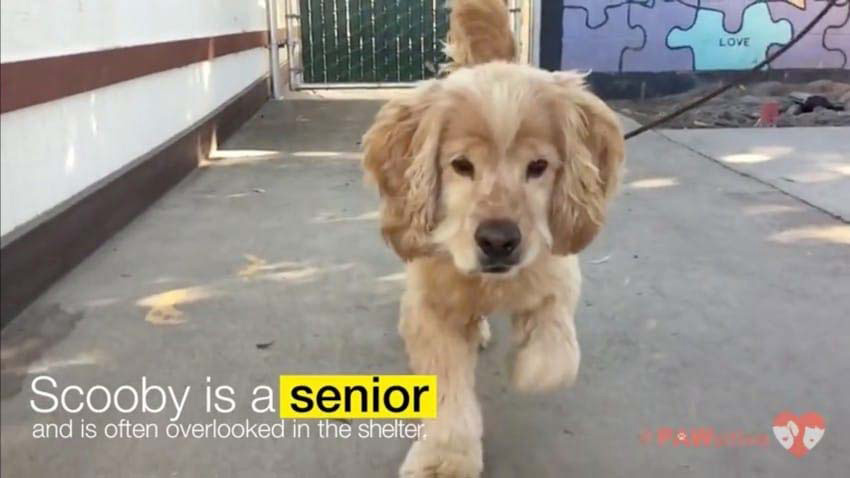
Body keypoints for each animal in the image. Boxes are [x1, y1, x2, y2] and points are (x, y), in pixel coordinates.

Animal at [358, 1, 624, 476]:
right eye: (461, 165)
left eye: (538, 167)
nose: (499, 241)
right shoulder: (429, 308)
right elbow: (447, 388)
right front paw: (445, 457)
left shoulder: (556, 272)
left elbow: (556, 355)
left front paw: (527, 363)